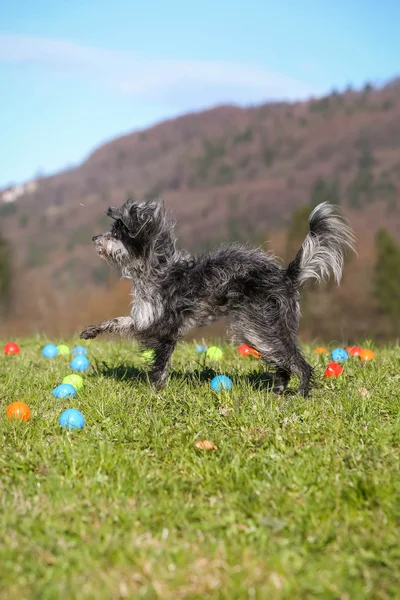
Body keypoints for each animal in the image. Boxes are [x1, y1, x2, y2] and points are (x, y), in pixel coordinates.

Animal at [79, 200, 354, 398]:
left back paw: (301, 393)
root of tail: (287, 275)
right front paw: (91, 331)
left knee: (298, 362)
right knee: (283, 363)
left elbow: (160, 366)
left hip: (261, 327)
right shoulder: (145, 320)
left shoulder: (164, 328)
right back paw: (278, 391)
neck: (155, 269)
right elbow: (116, 321)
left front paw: (155, 392)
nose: (93, 238)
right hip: (256, 330)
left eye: (116, 234)